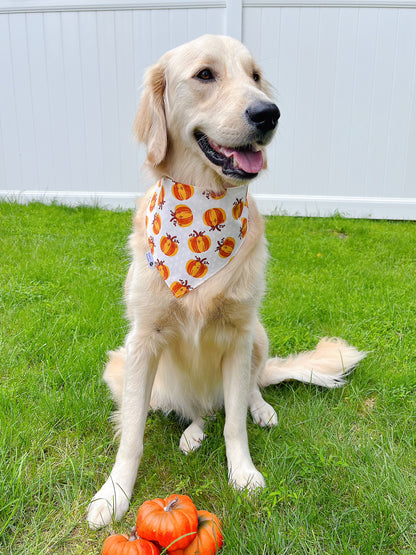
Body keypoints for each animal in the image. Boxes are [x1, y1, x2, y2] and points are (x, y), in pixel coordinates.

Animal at [87, 33, 364, 528]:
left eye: (255, 76)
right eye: (205, 75)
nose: (268, 113)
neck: (203, 203)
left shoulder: (238, 334)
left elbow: (235, 421)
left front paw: (244, 472)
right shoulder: (142, 340)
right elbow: (132, 432)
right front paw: (114, 493)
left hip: (258, 333)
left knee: (245, 390)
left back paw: (260, 408)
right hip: (121, 366)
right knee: (196, 411)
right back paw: (193, 432)